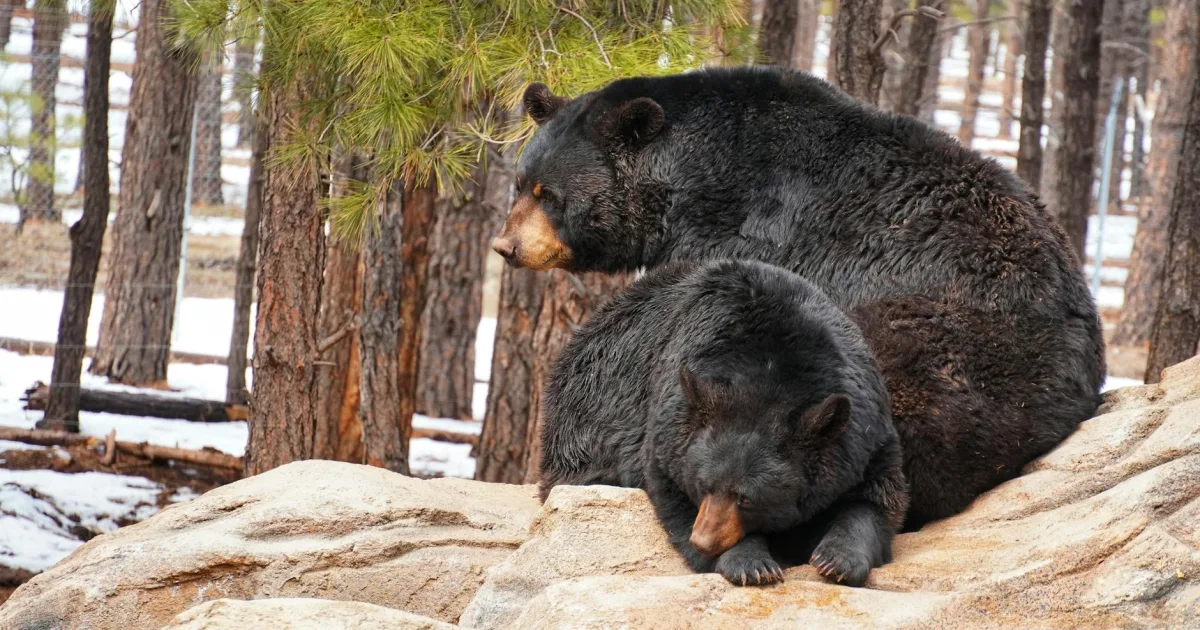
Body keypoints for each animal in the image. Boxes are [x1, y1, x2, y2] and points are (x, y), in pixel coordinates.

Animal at [496, 66, 1105, 530]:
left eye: (550, 194)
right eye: (520, 184)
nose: (506, 246)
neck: (687, 179)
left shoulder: (747, 229)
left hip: (945, 349)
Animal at [541, 259, 908, 587]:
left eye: (746, 498)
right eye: (704, 485)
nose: (703, 541)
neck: (769, 375)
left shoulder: (866, 435)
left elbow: (876, 500)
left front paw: (838, 559)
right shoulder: (667, 423)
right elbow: (671, 492)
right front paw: (750, 563)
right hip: (580, 431)